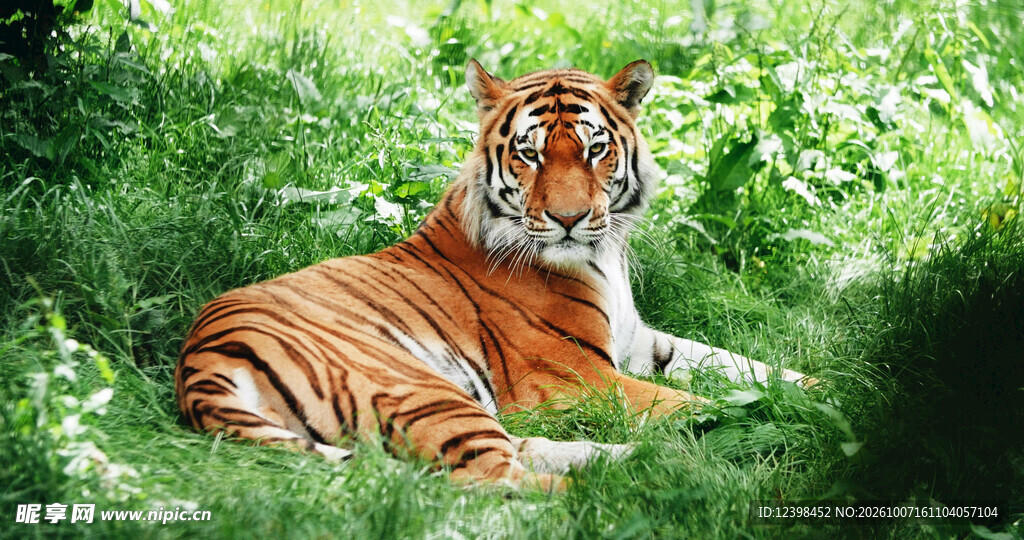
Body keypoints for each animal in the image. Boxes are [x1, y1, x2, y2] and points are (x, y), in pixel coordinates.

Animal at [175, 59, 814, 490]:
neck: (603, 257)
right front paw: (772, 420)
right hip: (423, 387)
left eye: (595, 150)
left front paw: (820, 393)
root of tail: (199, 360)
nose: (568, 219)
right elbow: (695, 402)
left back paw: (643, 462)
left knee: (518, 452)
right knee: (495, 482)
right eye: (530, 153)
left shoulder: (641, 342)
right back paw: (643, 486)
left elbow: (745, 368)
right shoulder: (575, 377)